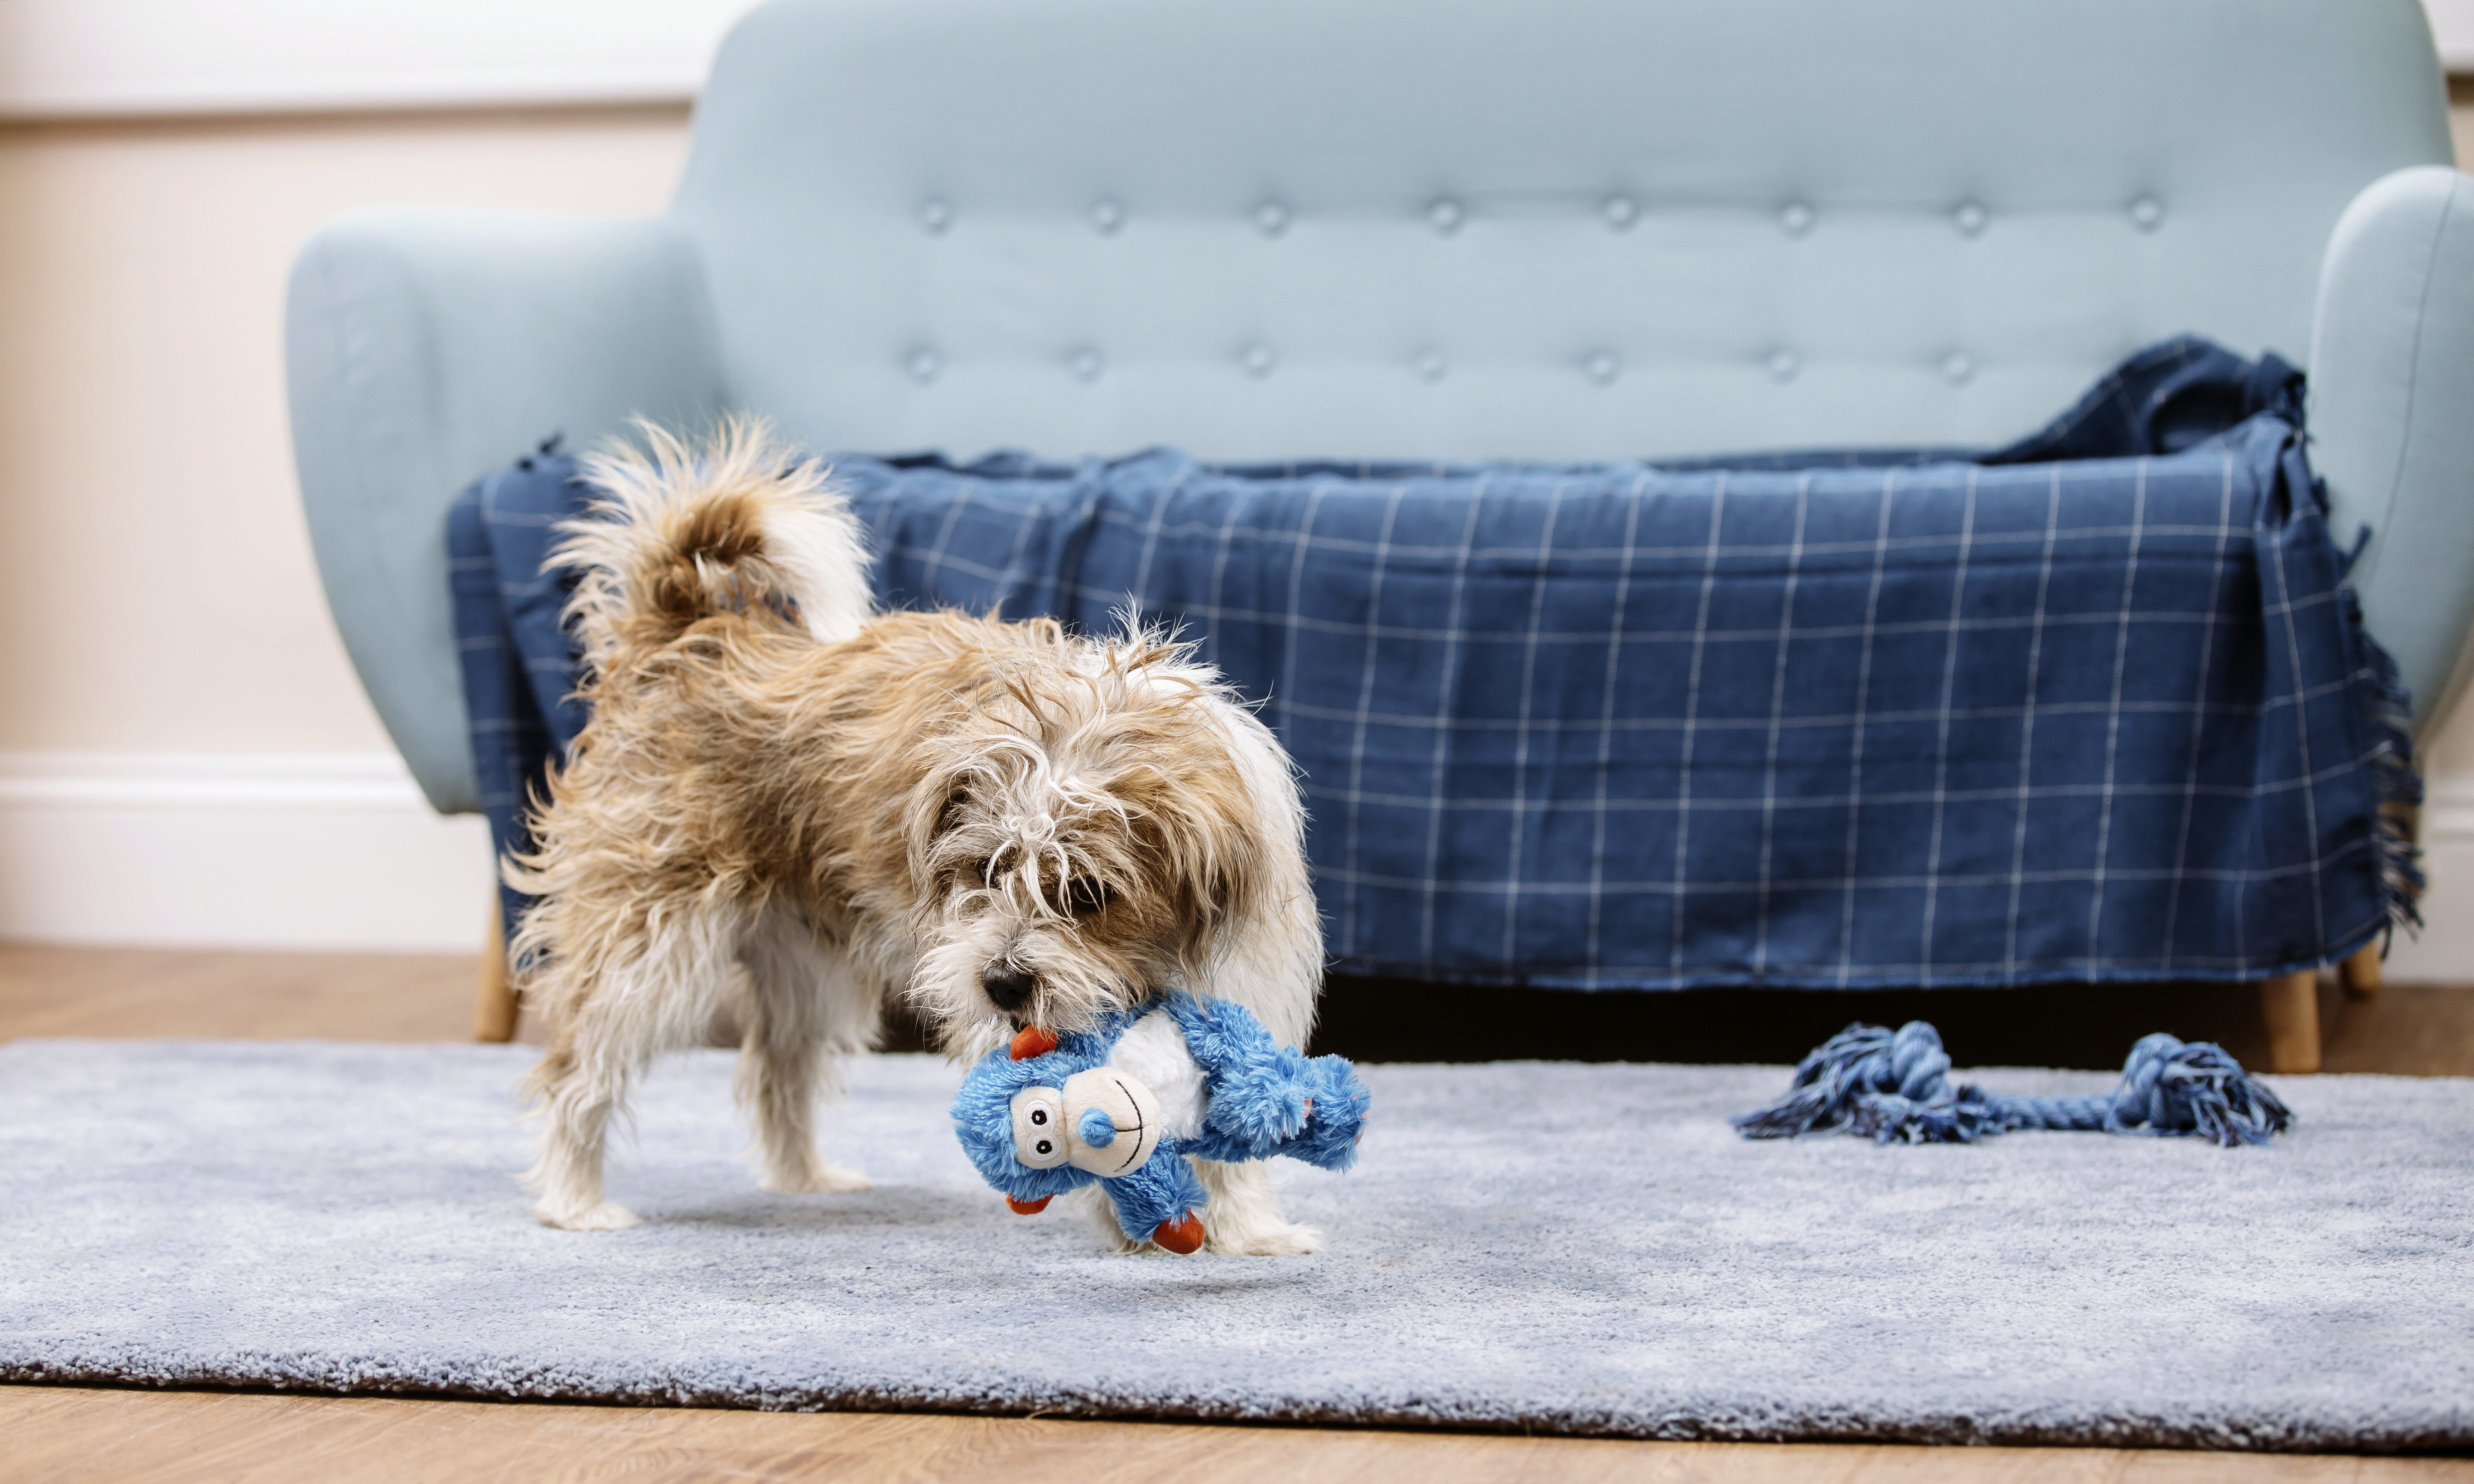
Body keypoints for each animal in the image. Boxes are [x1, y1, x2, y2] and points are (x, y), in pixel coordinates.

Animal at [507, 420, 1336, 1251]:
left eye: (1087, 894)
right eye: (985, 872)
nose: (1003, 984)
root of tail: (686, 632)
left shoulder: (1238, 988)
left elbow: (1227, 1138)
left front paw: (1248, 1229)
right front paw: (1145, 1221)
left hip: (806, 961)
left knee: (778, 1070)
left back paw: (807, 1179)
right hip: (647, 941)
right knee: (578, 1071)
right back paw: (575, 1201)